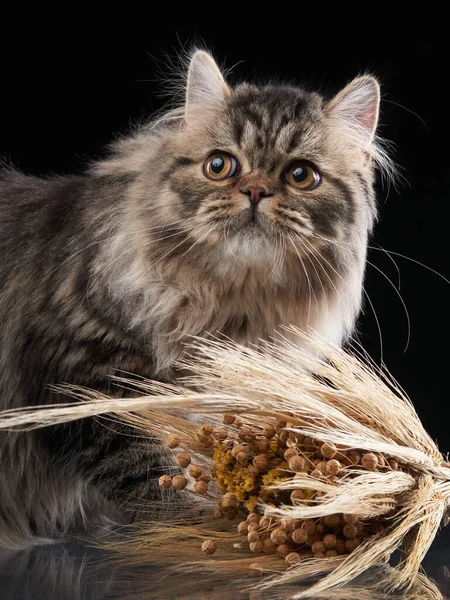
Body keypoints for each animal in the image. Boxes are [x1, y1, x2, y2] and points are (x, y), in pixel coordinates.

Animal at [0, 50, 388, 548]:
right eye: (220, 166)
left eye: (301, 175)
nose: (255, 191)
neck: (227, 307)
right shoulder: (81, 378)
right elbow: (152, 472)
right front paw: (196, 524)